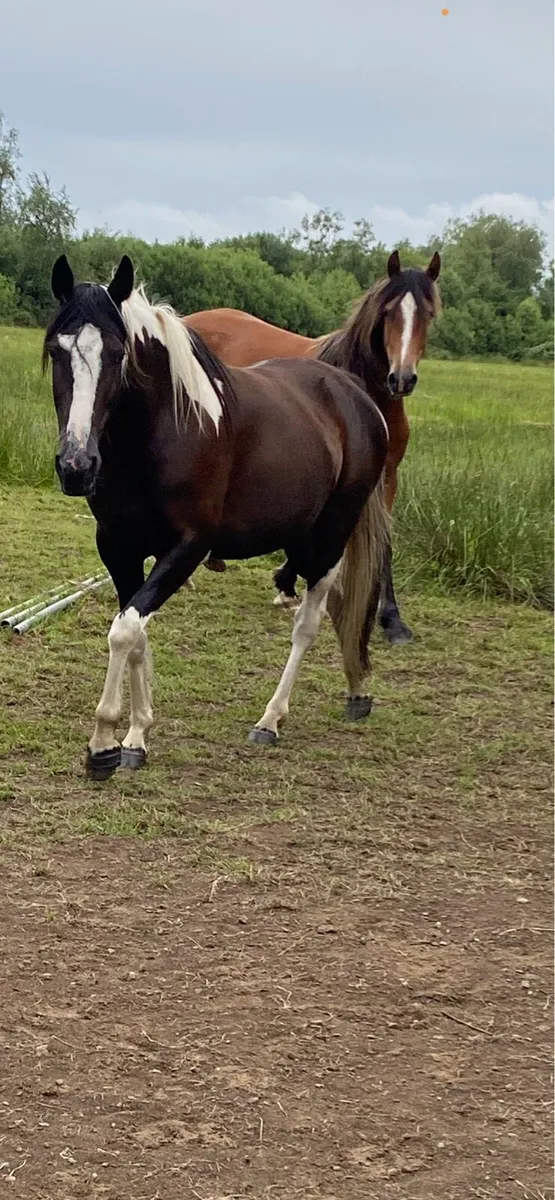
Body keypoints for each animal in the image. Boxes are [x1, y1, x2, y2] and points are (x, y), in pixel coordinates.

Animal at [44, 254, 389, 781]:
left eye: (118, 353)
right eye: (56, 350)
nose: (77, 466)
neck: (162, 434)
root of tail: (356, 396)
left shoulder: (188, 548)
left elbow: (123, 632)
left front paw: (102, 744)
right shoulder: (118, 548)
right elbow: (134, 633)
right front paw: (136, 736)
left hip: (331, 536)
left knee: (308, 624)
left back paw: (271, 719)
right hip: (300, 536)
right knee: (339, 605)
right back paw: (356, 690)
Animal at [185, 250, 441, 644]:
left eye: (428, 313)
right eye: (388, 312)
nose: (402, 378)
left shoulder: (385, 477)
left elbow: (383, 542)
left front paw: (393, 620)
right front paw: (285, 583)